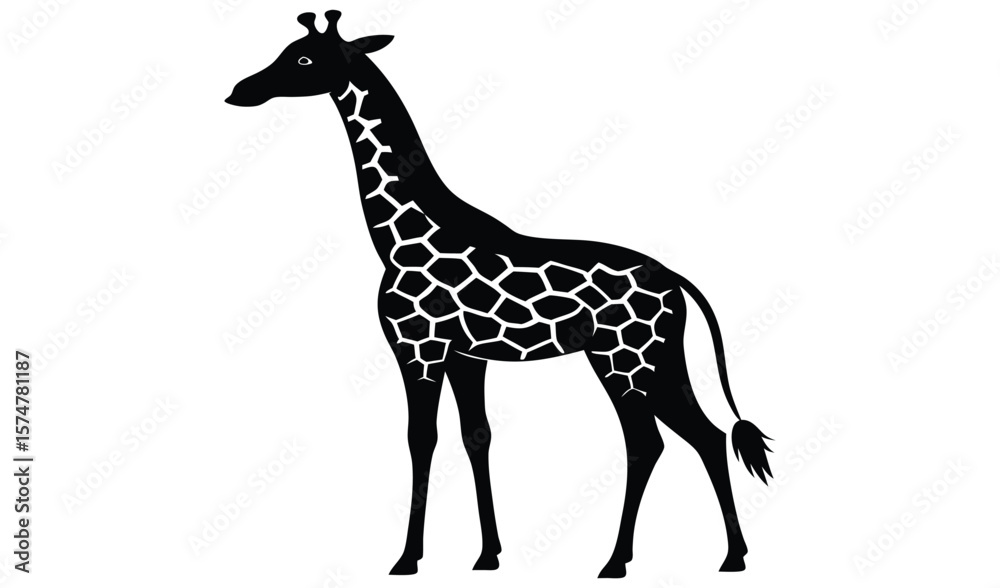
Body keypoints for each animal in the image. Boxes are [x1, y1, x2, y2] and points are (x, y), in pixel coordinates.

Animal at [226, 10, 773, 578]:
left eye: (302, 58)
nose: (240, 90)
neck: (397, 237)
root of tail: (676, 279)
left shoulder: (417, 348)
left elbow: (421, 438)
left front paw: (407, 558)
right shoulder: (467, 355)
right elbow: (476, 436)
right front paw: (487, 554)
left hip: (623, 357)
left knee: (648, 442)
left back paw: (618, 561)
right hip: (658, 358)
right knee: (705, 435)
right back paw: (731, 556)